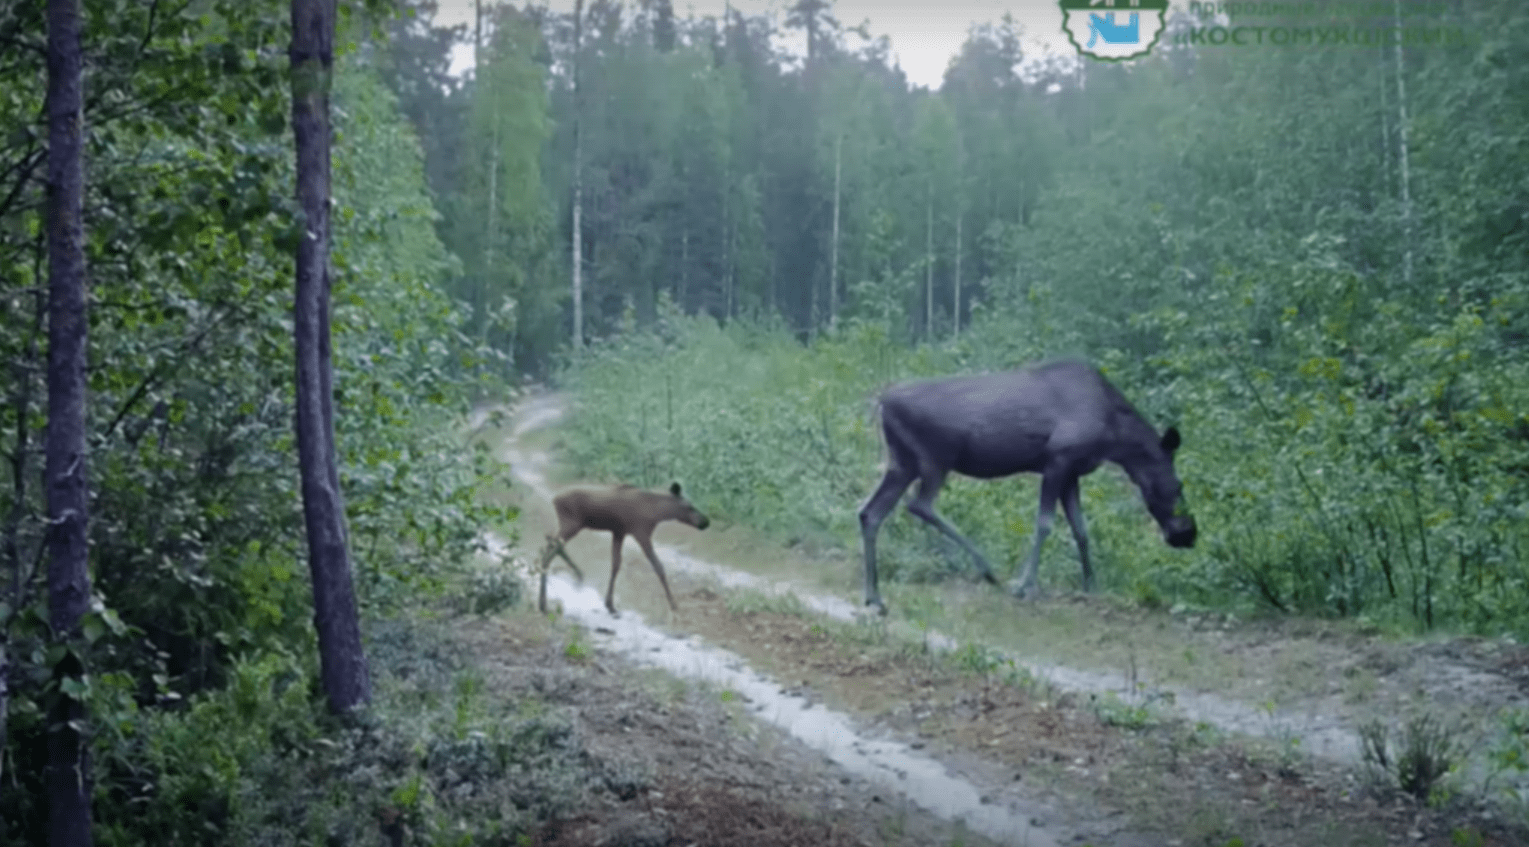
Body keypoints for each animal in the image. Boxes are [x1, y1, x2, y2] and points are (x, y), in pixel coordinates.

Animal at [538, 480, 709, 614]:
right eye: (689, 506)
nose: (706, 521)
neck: (657, 512)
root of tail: (555, 499)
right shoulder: (641, 534)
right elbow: (658, 567)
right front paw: (673, 605)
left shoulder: (619, 532)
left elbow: (616, 564)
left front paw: (609, 604)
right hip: (572, 525)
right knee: (549, 552)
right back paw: (544, 601)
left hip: (567, 525)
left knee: (548, 542)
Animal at [862, 357, 1192, 614]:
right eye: (1179, 485)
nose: (1188, 534)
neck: (1114, 438)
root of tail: (881, 403)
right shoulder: (1058, 460)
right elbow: (1045, 524)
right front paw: (1025, 584)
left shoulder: (1072, 473)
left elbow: (1081, 529)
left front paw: (1092, 583)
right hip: (935, 459)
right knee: (919, 504)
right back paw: (987, 569)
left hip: (902, 463)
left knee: (870, 513)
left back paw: (874, 597)